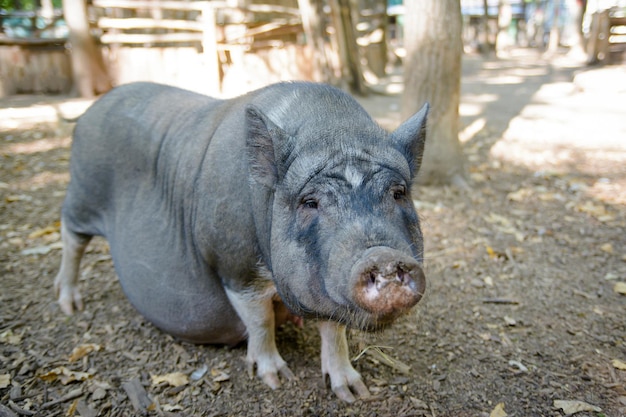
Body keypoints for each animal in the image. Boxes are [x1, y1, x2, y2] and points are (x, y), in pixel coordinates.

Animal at [54, 79, 428, 402]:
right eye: (310, 202)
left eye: (399, 192)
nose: (382, 257)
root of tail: (94, 107)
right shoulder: (234, 264)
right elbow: (260, 321)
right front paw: (278, 380)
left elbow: (333, 331)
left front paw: (355, 393)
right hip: (83, 193)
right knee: (71, 236)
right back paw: (70, 305)